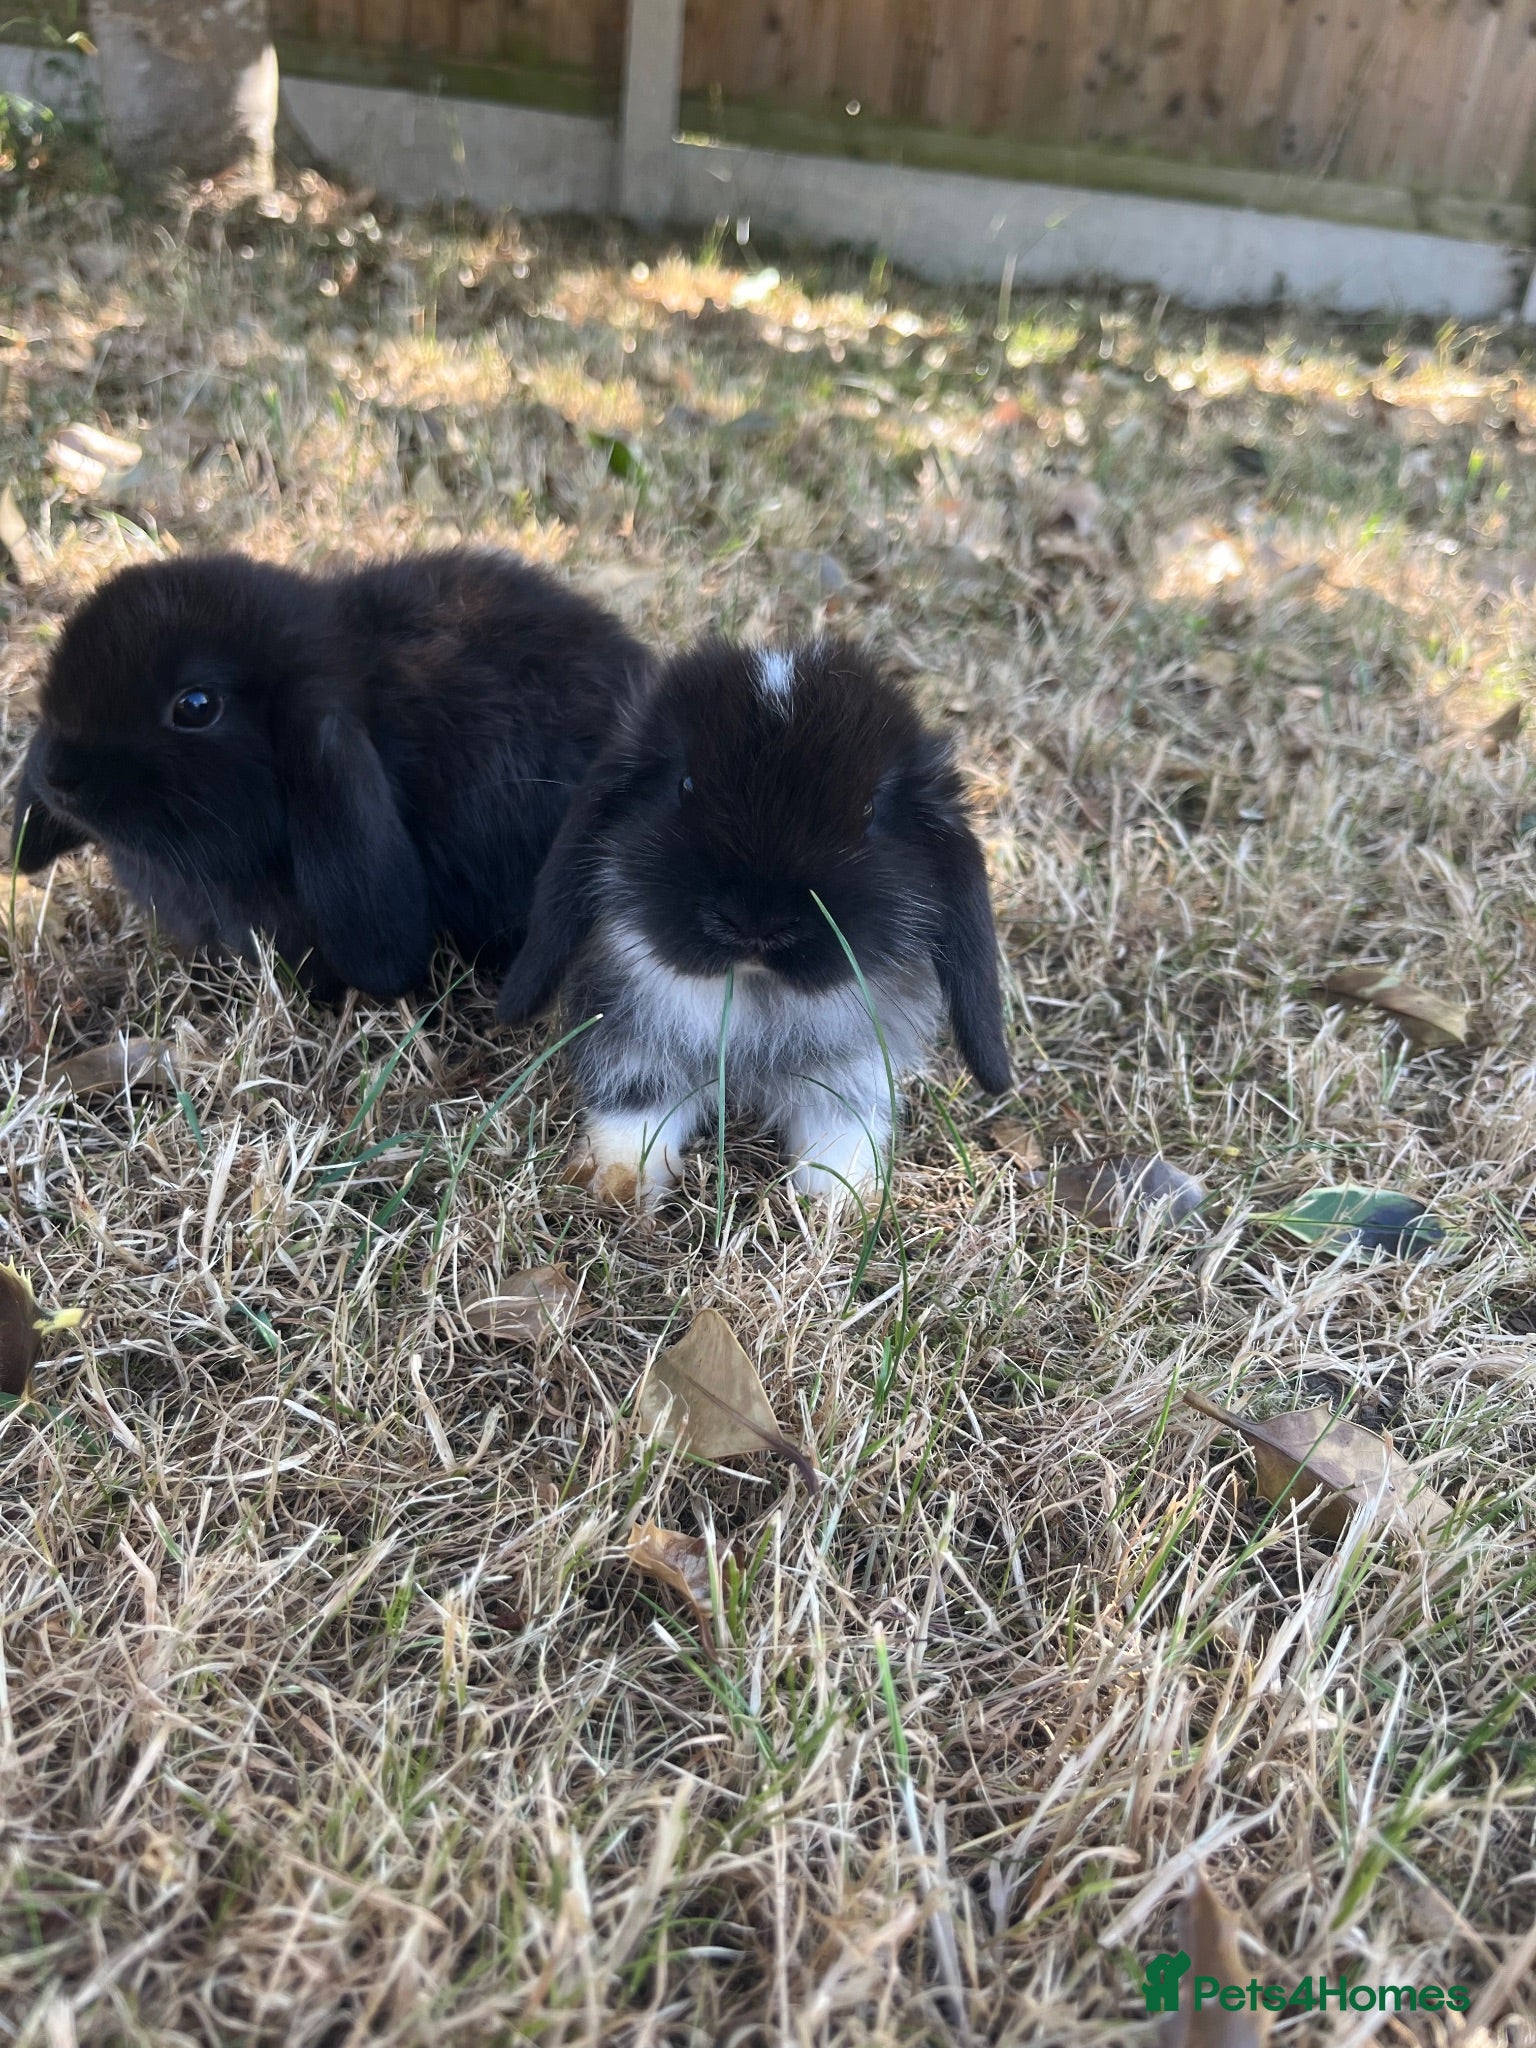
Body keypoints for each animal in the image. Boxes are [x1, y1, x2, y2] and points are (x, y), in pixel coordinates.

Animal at [495, 637, 1011, 1209]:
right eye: (684, 785)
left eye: (869, 811)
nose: (755, 922)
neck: (752, 994)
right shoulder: (636, 1044)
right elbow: (636, 1107)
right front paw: (616, 1182)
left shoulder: (851, 1072)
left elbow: (840, 1129)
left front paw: (847, 1198)